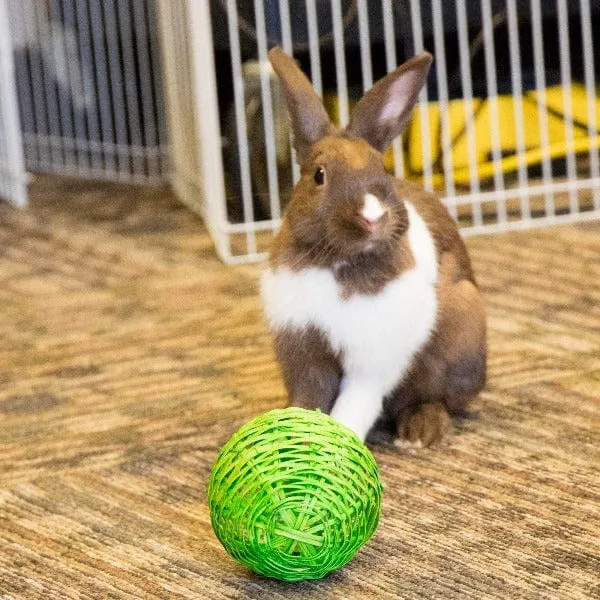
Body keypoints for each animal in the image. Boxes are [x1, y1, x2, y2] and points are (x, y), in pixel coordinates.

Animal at [260, 48, 486, 446]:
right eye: (319, 175)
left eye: (382, 173)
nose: (372, 217)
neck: (336, 263)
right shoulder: (304, 350)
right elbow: (308, 396)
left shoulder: (373, 360)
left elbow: (356, 404)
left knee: (434, 398)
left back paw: (421, 431)